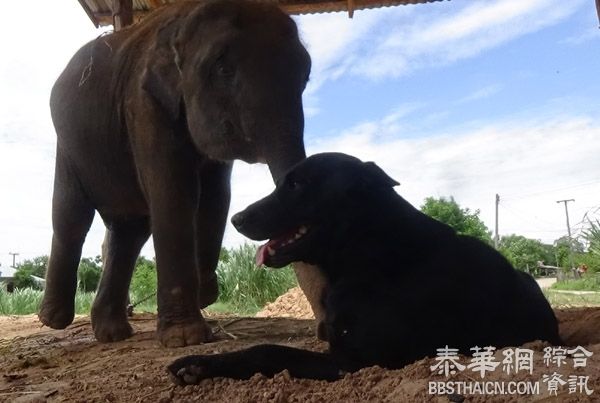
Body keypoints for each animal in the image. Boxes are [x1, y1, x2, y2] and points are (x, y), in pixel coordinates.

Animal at [38, 0, 318, 348]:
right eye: (223, 70)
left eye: (306, 76)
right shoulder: (143, 104)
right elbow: (174, 190)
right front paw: (186, 338)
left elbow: (216, 194)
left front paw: (205, 295)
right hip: (69, 147)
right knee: (72, 216)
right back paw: (54, 319)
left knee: (129, 231)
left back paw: (112, 334)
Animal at [170, 153, 564, 384]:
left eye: (296, 184)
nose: (236, 219)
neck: (368, 252)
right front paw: (198, 364)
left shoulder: (354, 362)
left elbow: (269, 350)